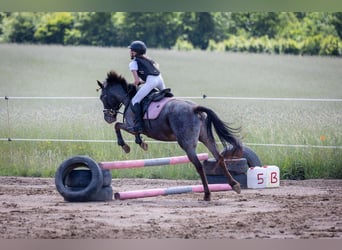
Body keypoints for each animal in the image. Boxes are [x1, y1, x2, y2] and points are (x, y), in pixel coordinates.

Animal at [97, 70, 243, 201]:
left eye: (102, 97)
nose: (107, 118)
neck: (130, 99)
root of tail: (195, 108)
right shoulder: (134, 128)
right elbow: (130, 132)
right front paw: (141, 143)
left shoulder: (132, 126)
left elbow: (118, 126)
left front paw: (125, 146)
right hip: (206, 138)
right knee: (220, 158)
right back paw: (234, 185)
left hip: (187, 144)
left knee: (199, 166)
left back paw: (207, 195)